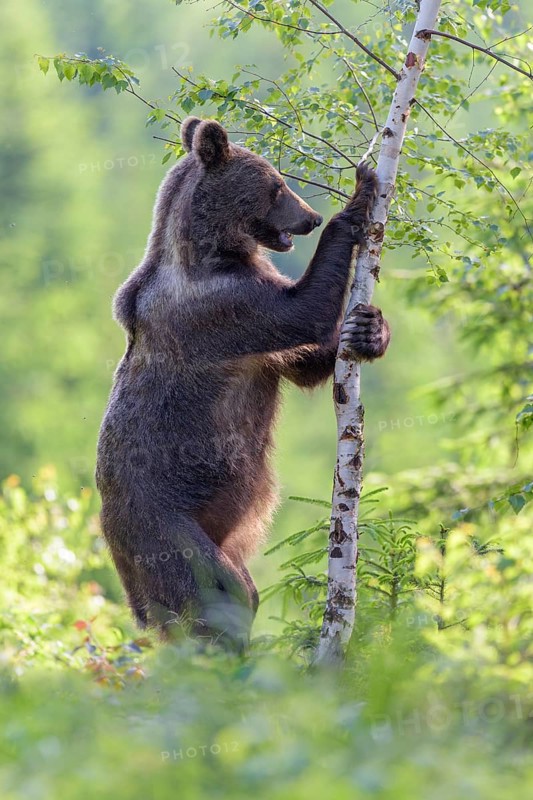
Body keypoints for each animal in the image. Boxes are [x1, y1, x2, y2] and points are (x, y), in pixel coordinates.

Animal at [95, 116, 390, 649]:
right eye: (277, 186)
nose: (311, 217)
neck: (212, 253)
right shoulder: (222, 310)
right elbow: (303, 310)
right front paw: (357, 199)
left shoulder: (256, 340)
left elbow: (306, 362)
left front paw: (367, 329)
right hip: (165, 529)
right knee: (215, 598)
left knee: (243, 591)